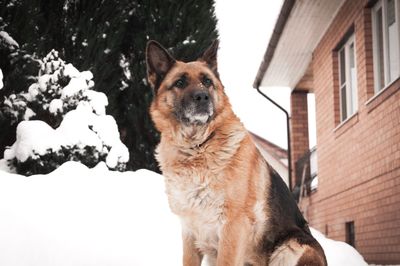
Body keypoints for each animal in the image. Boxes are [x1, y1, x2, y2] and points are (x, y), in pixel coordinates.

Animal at [145, 40, 326, 266]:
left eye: (207, 81)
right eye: (179, 82)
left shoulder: (232, 227)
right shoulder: (189, 232)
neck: (197, 147)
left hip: (291, 247)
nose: (202, 97)